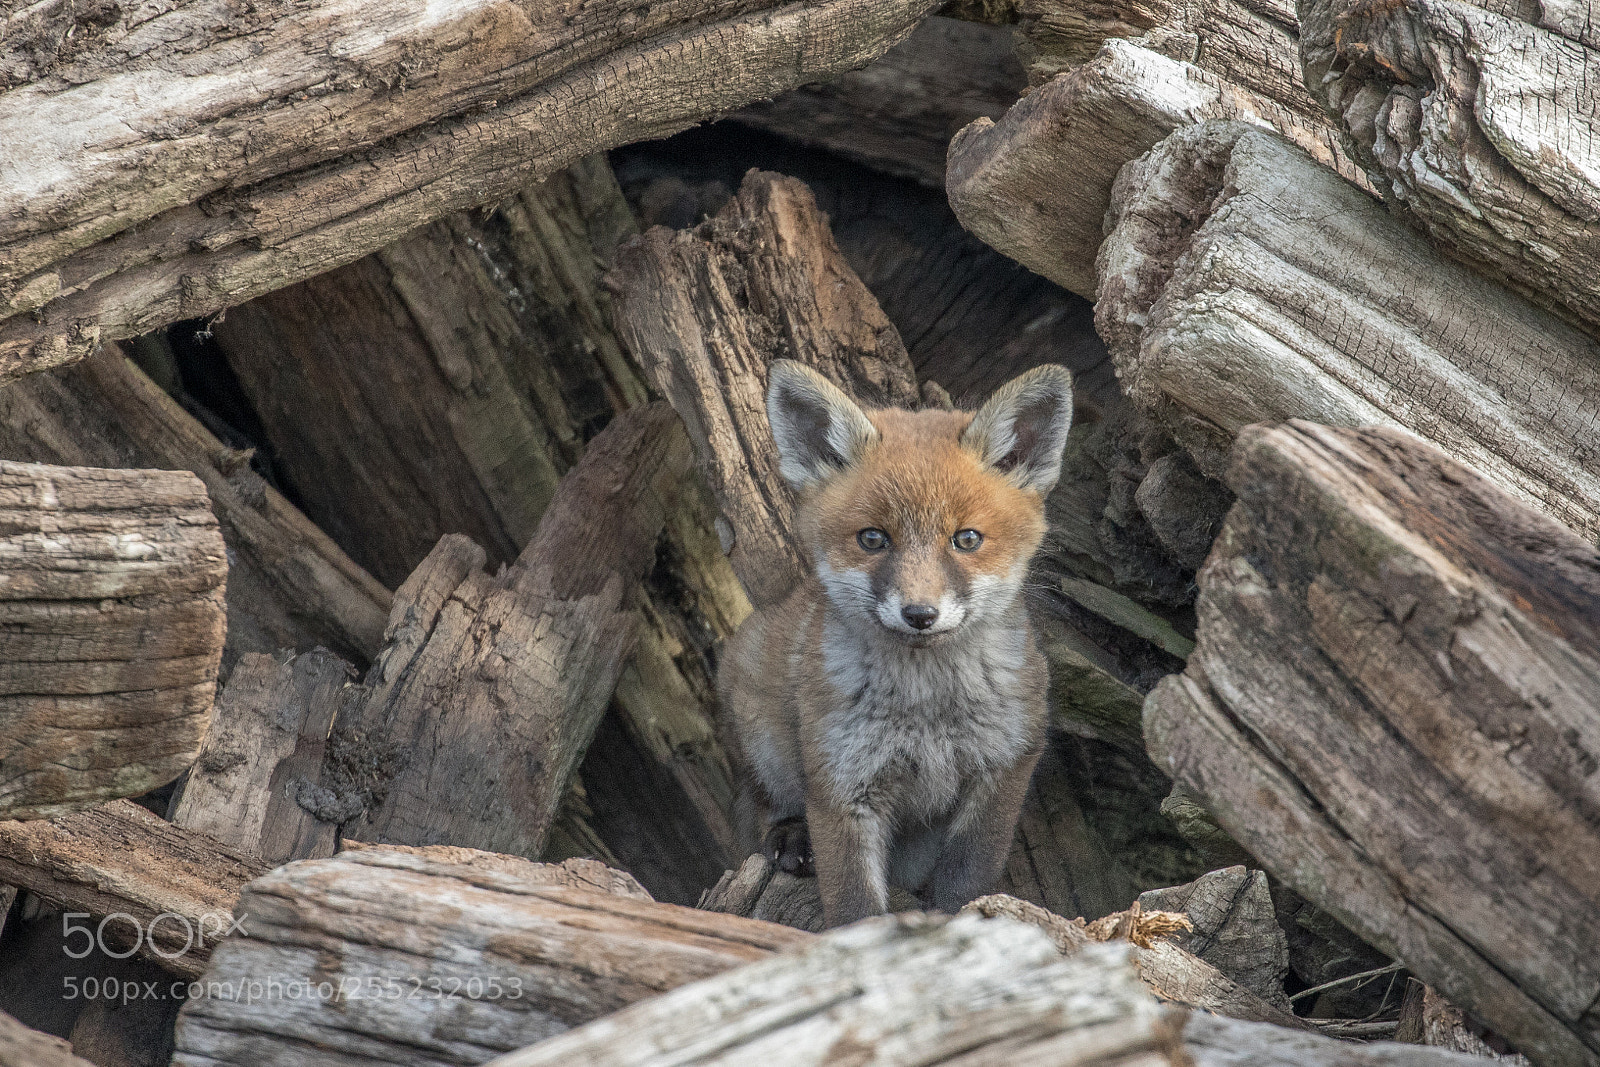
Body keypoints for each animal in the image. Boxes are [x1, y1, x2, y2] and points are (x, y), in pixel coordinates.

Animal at [718, 359, 1075, 929]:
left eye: (966, 539)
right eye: (873, 539)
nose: (920, 614)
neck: (927, 707)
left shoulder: (1003, 766)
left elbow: (964, 882)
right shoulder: (842, 785)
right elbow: (855, 907)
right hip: (761, 732)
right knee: (765, 808)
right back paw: (788, 835)